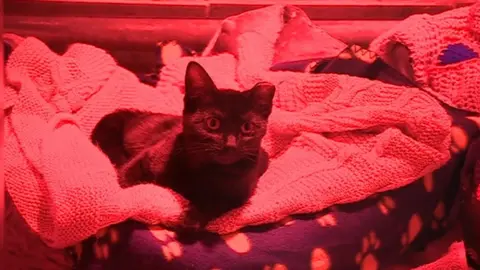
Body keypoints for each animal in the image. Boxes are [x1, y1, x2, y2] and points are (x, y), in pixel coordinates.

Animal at [91, 61, 276, 224]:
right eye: (213, 123)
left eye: (247, 127)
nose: (230, 144)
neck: (206, 171)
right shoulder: (148, 155)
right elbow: (126, 179)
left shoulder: (240, 193)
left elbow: (217, 203)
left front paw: (191, 218)